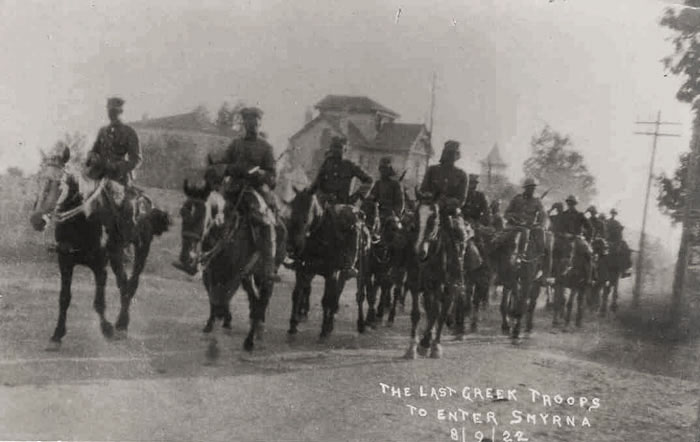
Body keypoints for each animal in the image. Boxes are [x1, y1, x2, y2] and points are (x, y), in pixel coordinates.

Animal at [28, 147, 171, 348]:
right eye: (38, 179)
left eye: (59, 183)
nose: (37, 220)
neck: (82, 220)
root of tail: (147, 203)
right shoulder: (65, 262)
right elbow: (64, 298)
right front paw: (57, 335)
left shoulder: (100, 266)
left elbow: (99, 302)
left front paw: (107, 329)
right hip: (117, 256)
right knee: (123, 284)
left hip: (142, 249)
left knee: (131, 284)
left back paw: (121, 325)